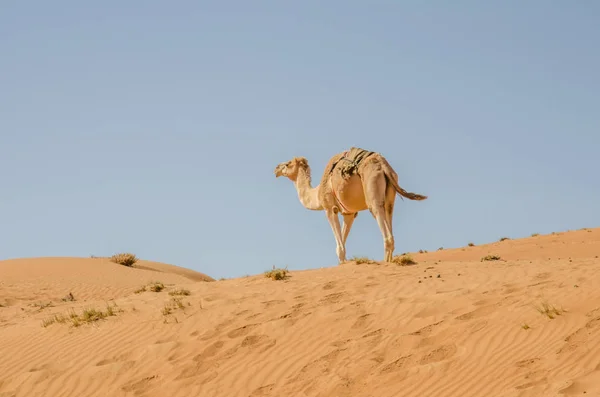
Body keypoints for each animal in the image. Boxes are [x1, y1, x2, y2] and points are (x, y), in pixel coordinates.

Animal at [274, 146, 428, 262]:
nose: (276, 169)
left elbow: (339, 248)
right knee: (389, 213)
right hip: (391, 192)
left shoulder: (330, 208)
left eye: (287, 164)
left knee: (379, 217)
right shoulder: (349, 213)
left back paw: (385, 262)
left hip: (372, 188)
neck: (317, 194)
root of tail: (383, 165)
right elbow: (343, 242)